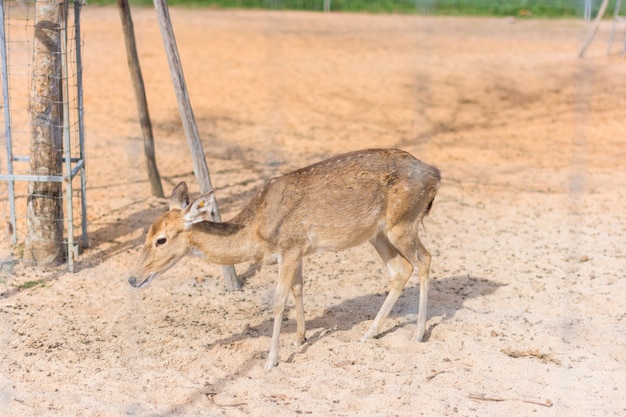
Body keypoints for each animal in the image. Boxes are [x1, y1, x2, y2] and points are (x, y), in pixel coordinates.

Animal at [127, 149, 438, 368]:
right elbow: (298, 289)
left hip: (402, 223)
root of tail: (435, 174)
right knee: (400, 269)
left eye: (160, 239)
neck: (256, 232)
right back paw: (369, 333)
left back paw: (418, 333)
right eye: (146, 233)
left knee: (424, 259)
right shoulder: (297, 250)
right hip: (379, 233)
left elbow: (278, 300)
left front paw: (271, 360)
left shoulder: (289, 247)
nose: (132, 278)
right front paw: (300, 339)